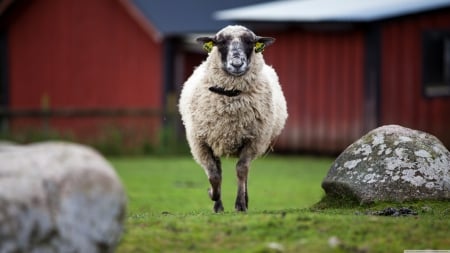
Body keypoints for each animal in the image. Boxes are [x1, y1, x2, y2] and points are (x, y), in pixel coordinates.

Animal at [178, 25, 286, 211]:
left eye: (250, 42)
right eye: (220, 42)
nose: (237, 64)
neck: (229, 98)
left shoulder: (253, 140)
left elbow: (241, 170)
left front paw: (240, 204)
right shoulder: (201, 143)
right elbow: (214, 175)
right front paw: (213, 196)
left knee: (245, 171)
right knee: (219, 170)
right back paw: (218, 204)